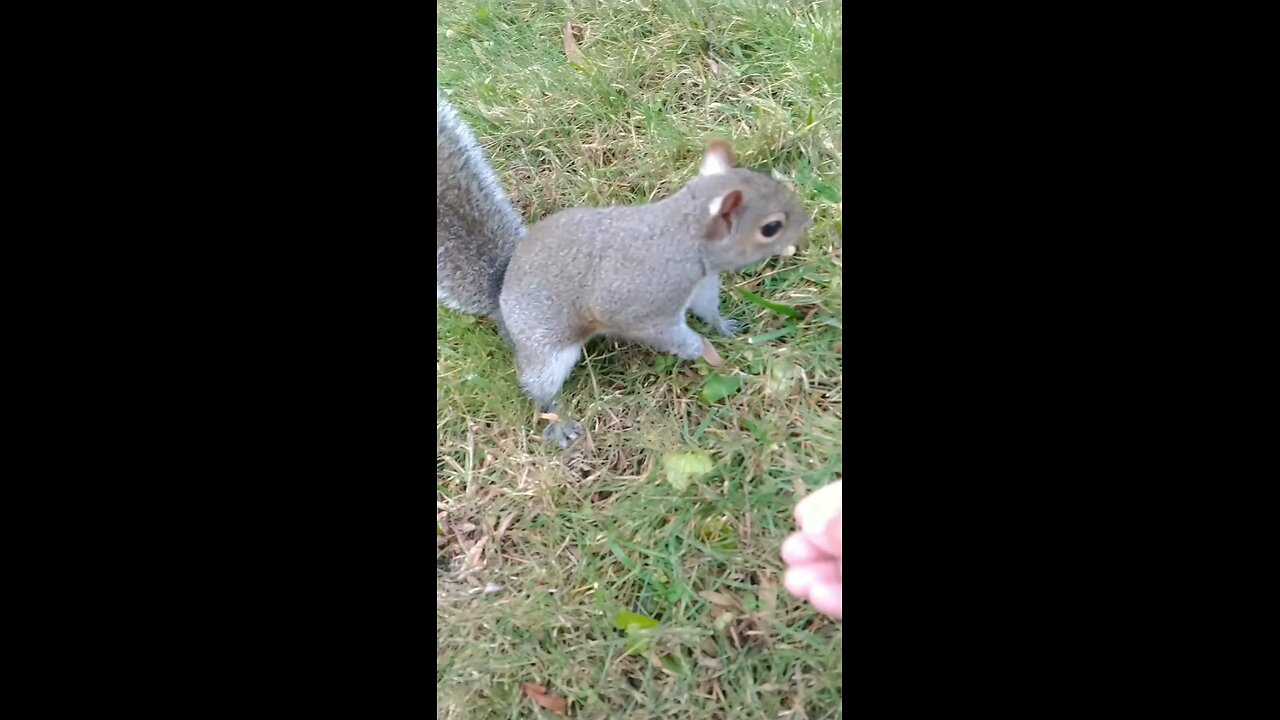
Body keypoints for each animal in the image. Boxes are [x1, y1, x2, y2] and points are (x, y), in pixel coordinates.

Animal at [437, 88, 808, 448]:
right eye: (771, 228)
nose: (808, 221)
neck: (683, 238)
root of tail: (501, 294)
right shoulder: (644, 308)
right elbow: (669, 335)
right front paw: (705, 352)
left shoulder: (701, 286)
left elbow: (708, 310)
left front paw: (726, 328)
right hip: (547, 348)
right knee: (538, 387)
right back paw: (558, 423)